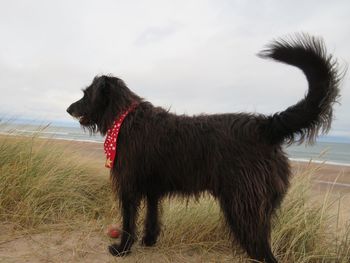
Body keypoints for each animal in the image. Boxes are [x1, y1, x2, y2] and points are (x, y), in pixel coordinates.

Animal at [67, 35, 344, 263]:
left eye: (86, 94)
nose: (68, 109)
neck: (125, 117)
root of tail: (265, 125)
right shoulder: (153, 189)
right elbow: (152, 218)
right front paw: (149, 241)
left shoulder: (129, 187)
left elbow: (128, 220)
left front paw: (122, 248)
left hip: (243, 208)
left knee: (263, 253)